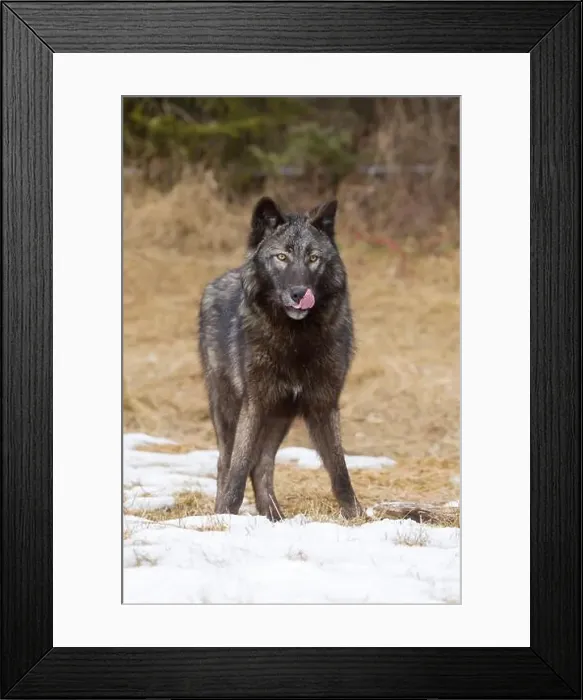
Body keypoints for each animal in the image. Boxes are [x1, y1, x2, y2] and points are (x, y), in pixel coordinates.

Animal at [198, 196, 363, 521]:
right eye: (282, 257)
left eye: (313, 258)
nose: (300, 293)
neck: (295, 340)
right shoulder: (255, 403)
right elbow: (237, 470)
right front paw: (227, 516)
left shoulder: (323, 404)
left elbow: (340, 472)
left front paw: (357, 518)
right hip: (229, 410)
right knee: (227, 463)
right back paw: (223, 512)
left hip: (280, 416)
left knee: (261, 465)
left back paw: (275, 517)